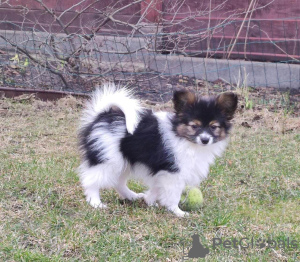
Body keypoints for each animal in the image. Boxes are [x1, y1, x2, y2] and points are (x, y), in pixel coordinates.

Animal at [78, 83, 238, 217]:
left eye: (214, 127)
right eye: (194, 126)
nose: (205, 140)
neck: (183, 137)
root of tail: (103, 115)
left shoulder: (163, 172)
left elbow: (157, 187)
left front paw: (149, 201)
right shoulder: (174, 173)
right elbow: (173, 195)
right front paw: (177, 212)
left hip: (124, 161)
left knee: (118, 182)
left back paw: (131, 196)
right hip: (108, 159)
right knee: (92, 180)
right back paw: (95, 202)